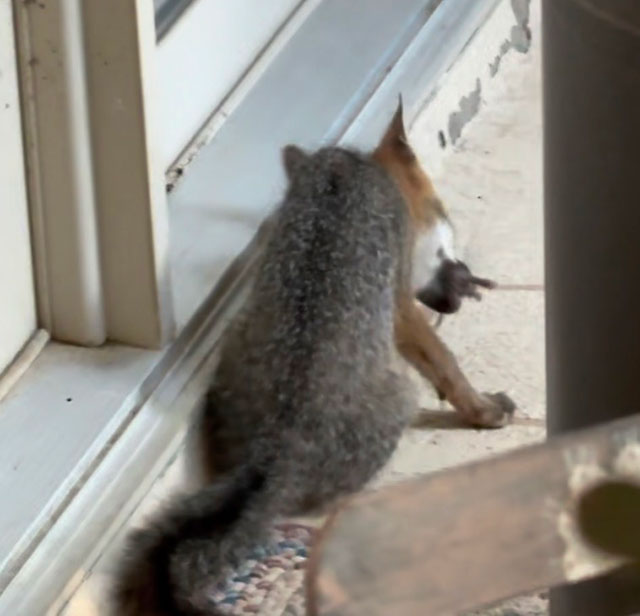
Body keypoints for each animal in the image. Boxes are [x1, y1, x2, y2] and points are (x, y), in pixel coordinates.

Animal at [113, 101, 515, 616]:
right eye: (440, 208)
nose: (463, 278)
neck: (341, 173)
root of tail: (275, 451)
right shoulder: (399, 303)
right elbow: (442, 360)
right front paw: (481, 407)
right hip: (401, 395)